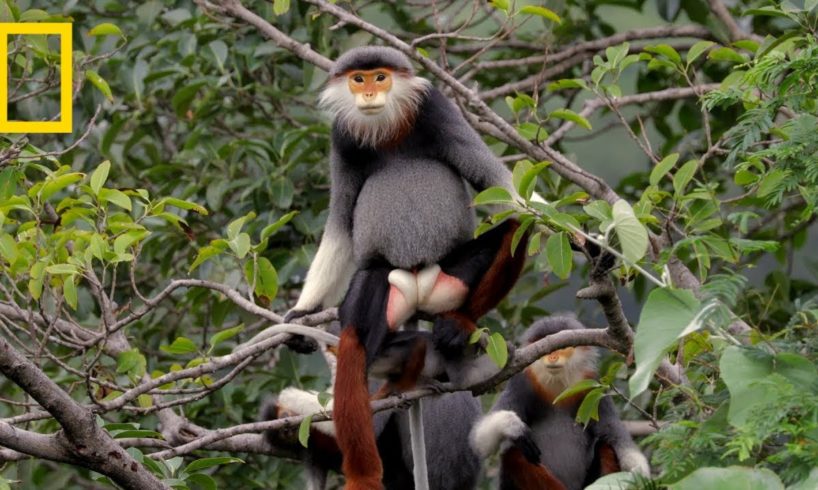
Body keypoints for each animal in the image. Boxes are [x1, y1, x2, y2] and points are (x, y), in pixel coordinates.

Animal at [284, 46, 530, 489]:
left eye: (380, 77)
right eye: (358, 79)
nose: (368, 95)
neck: (386, 129)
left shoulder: (435, 108)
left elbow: (503, 191)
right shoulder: (342, 138)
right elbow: (341, 224)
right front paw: (302, 313)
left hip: (449, 277)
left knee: (514, 226)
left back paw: (459, 324)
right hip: (386, 284)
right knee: (356, 337)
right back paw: (365, 472)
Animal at [470, 316, 650, 490]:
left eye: (561, 348)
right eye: (546, 350)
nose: (553, 356)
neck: (557, 386)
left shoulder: (594, 388)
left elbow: (616, 437)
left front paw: (640, 476)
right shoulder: (521, 383)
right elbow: (478, 441)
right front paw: (514, 426)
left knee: (606, 446)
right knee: (514, 454)